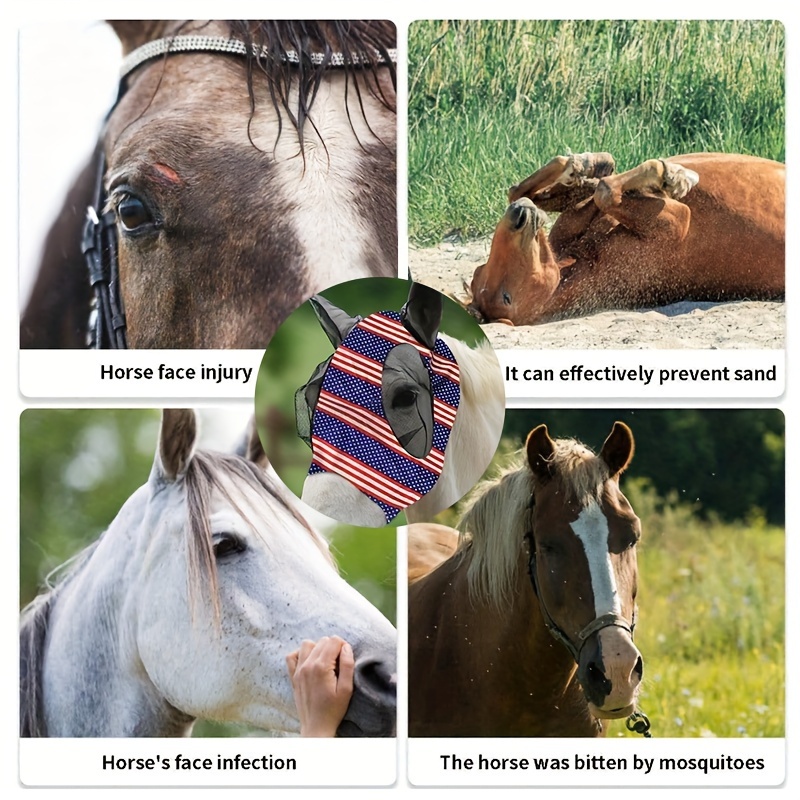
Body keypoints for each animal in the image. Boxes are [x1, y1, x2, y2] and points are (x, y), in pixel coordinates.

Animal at [464, 152, 784, 326]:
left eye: (479, 269)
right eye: (506, 297)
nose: (518, 216)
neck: (584, 260)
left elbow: (524, 190)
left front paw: (584, 165)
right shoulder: (679, 220)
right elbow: (606, 191)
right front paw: (672, 176)